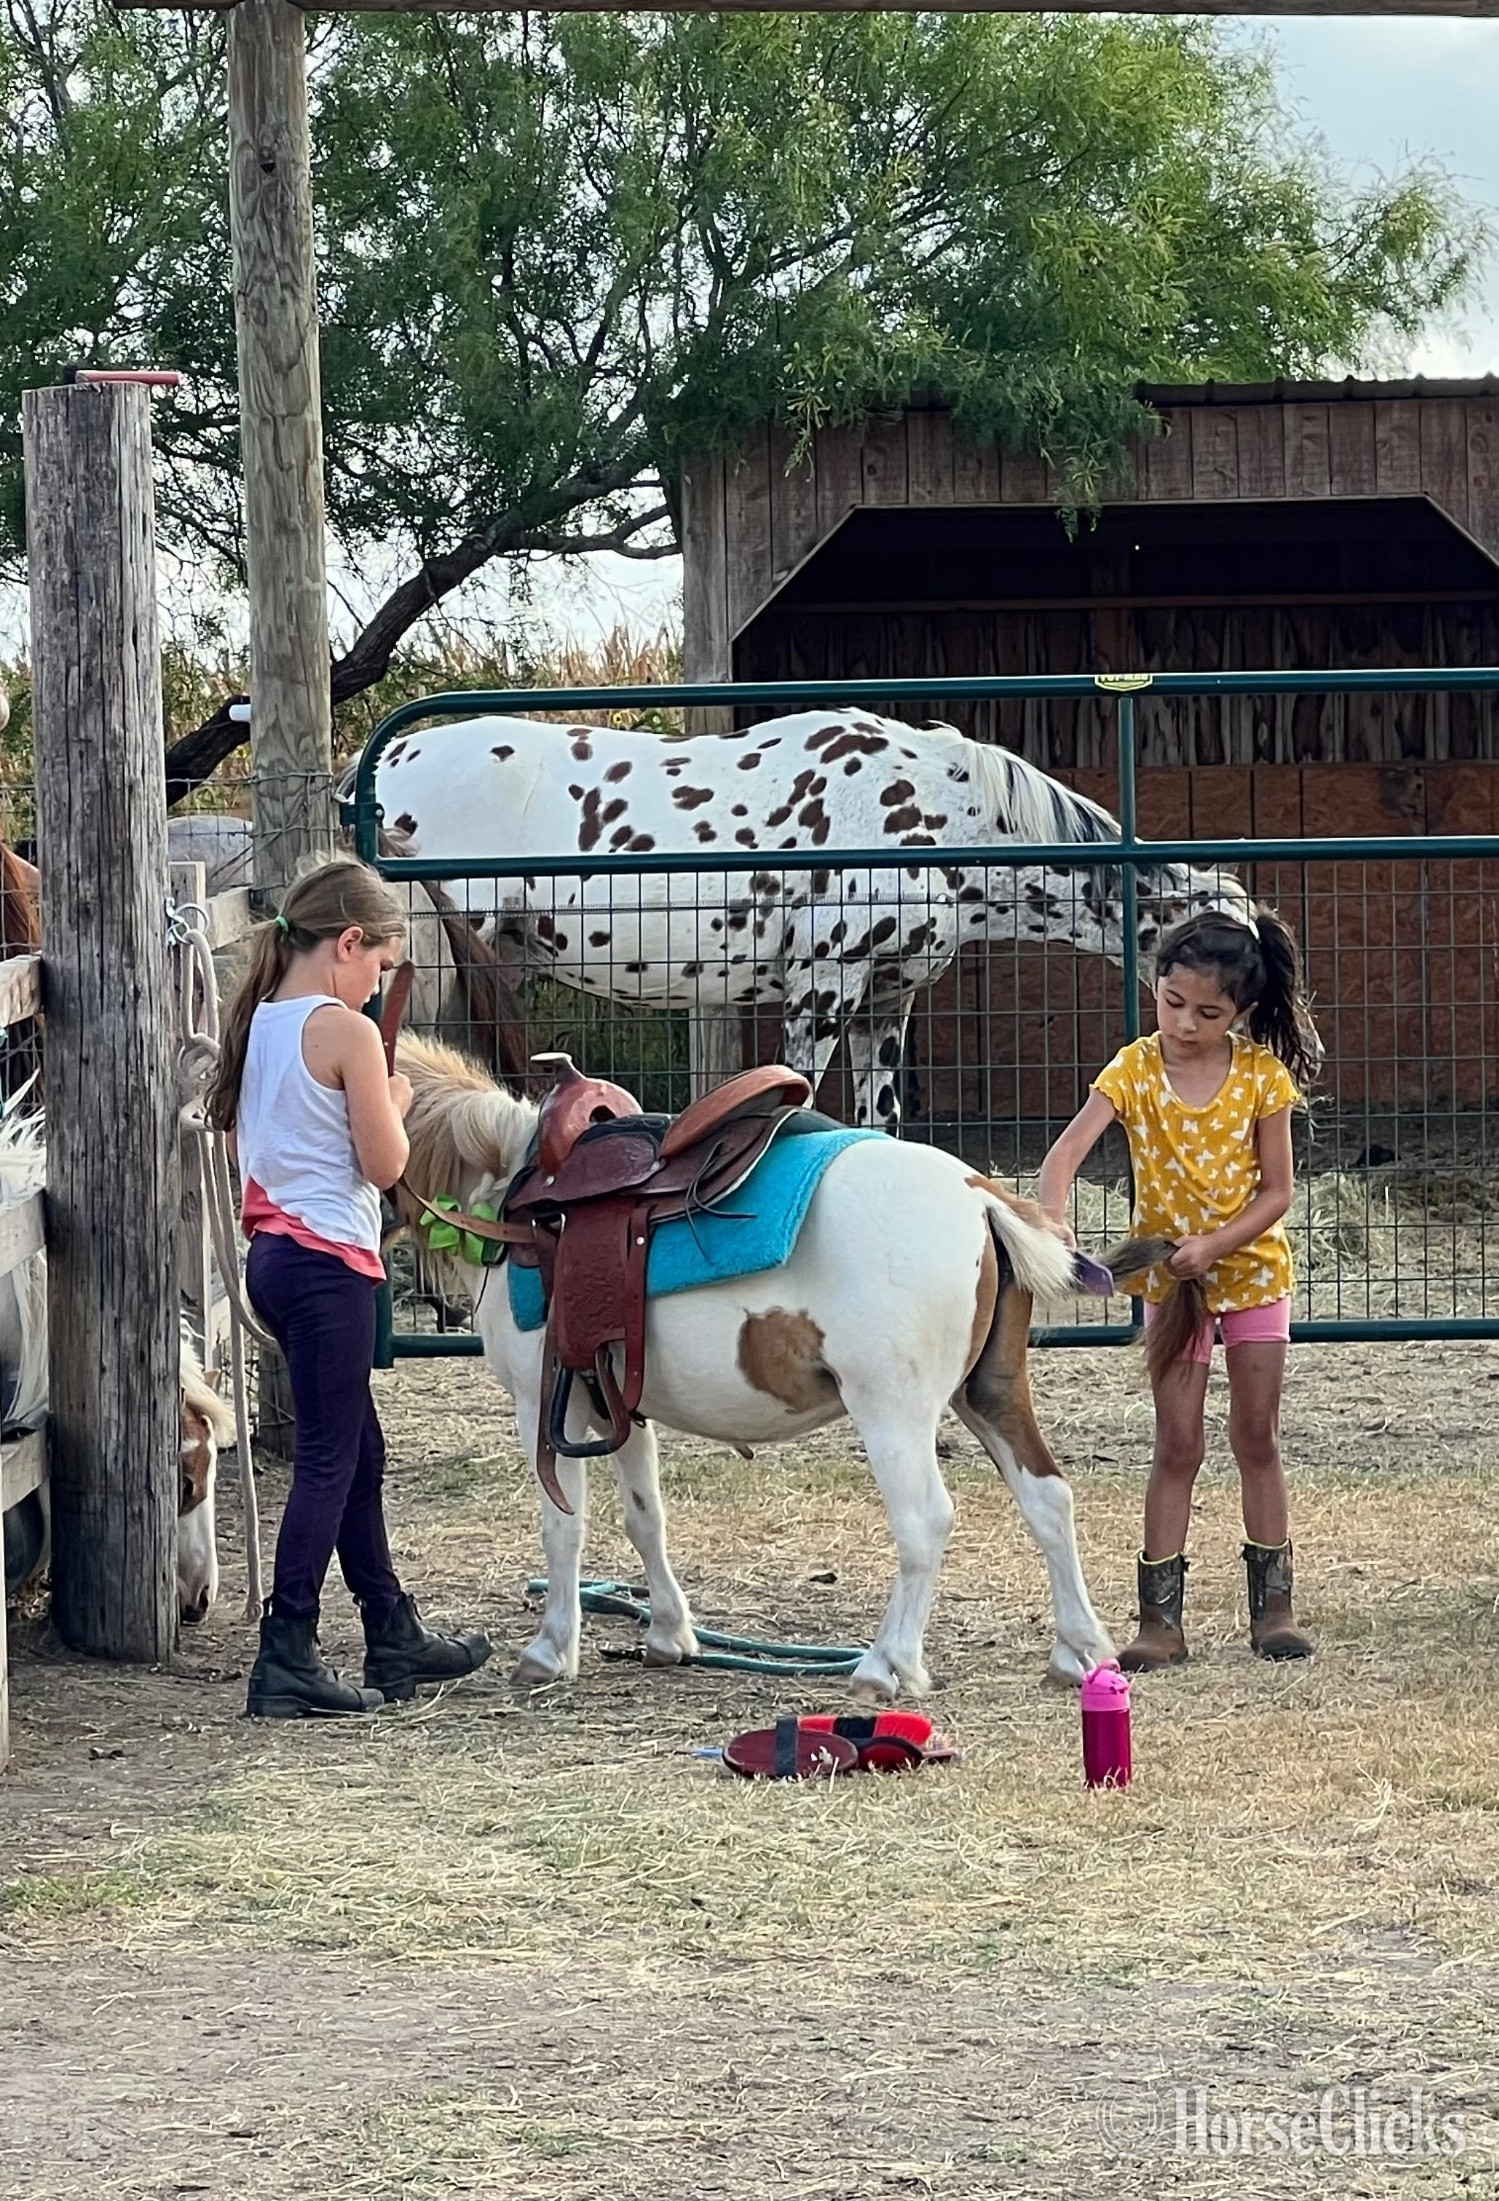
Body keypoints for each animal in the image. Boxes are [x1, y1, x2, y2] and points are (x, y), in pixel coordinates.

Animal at [394, 1033, 1119, 1701]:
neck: (509, 1194)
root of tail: (979, 1198)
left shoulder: (547, 1403)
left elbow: (562, 1525)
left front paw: (550, 1649)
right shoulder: (617, 1405)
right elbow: (644, 1517)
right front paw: (669, 1633)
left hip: (892, 1411)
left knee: (924, 1521)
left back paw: (886, 1664)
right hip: (989, 1393)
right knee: (1047, 1497)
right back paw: (1078, 1648)